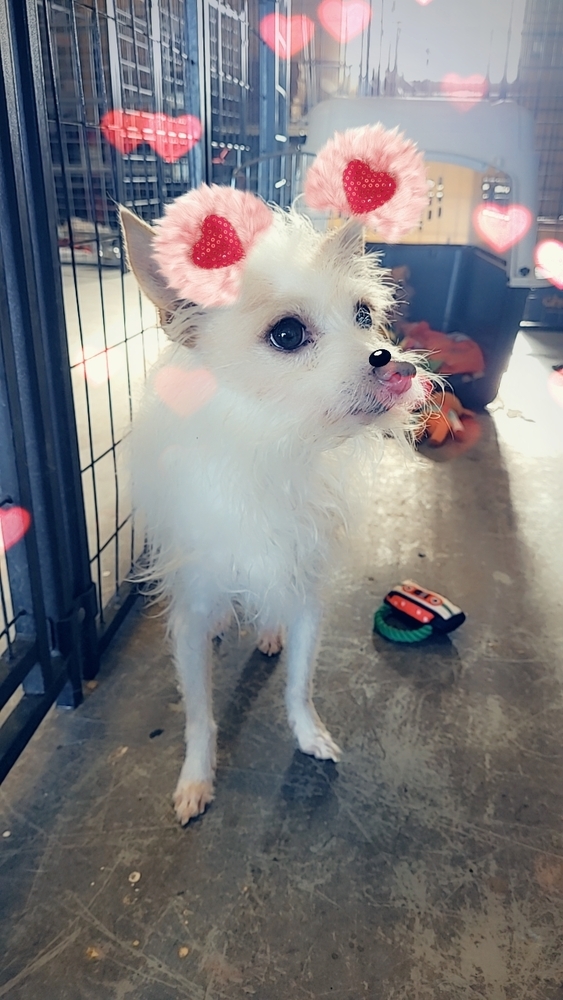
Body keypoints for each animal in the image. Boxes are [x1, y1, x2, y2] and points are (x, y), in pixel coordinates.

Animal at [121, 127, 430, 828]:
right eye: (287, 334)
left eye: (364, 316)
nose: (394, 364)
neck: (273, 449)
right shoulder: (191, 607)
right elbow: (200, 713)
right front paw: (196, 779)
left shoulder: (306, 588)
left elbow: (299, 683)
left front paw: (309, 734)